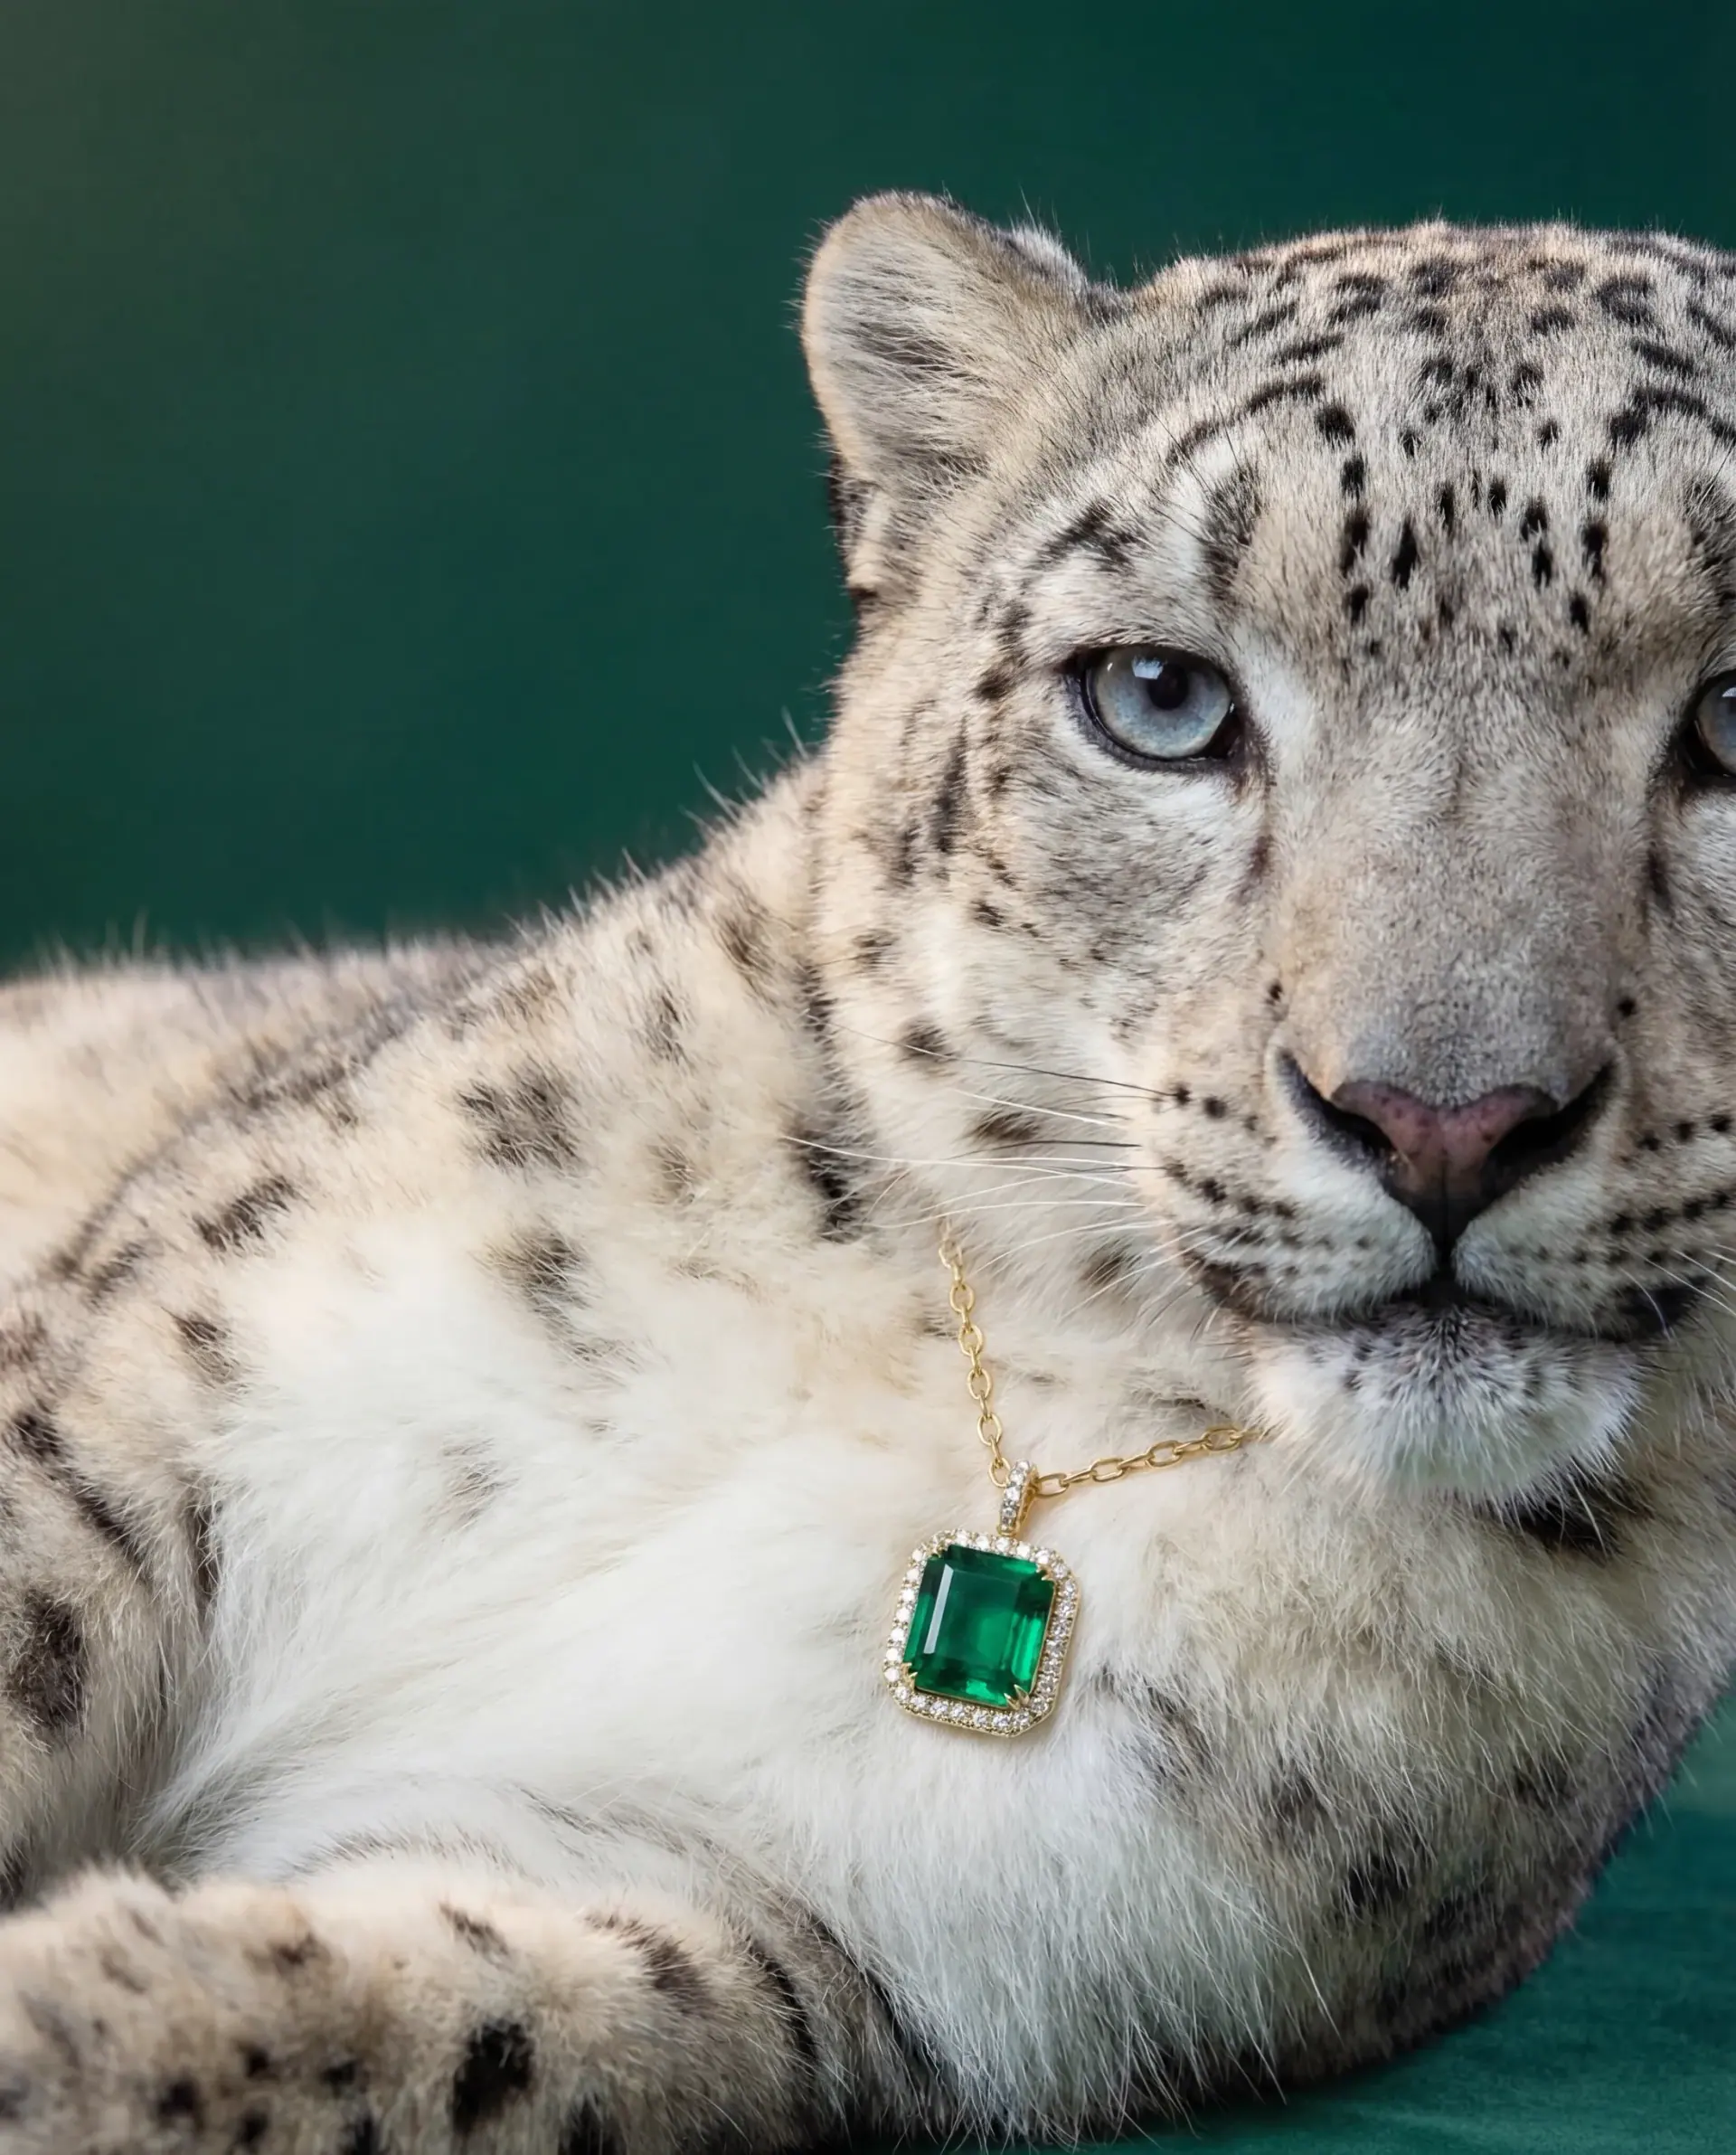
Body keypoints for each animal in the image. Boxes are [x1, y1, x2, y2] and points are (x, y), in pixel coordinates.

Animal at [0, 190, 1734, 2154]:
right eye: (1159, 695)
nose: (1446, 1116)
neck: (1001, 1401)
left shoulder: (764, 1912)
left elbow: (381, 2019)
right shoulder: (137, 1412)